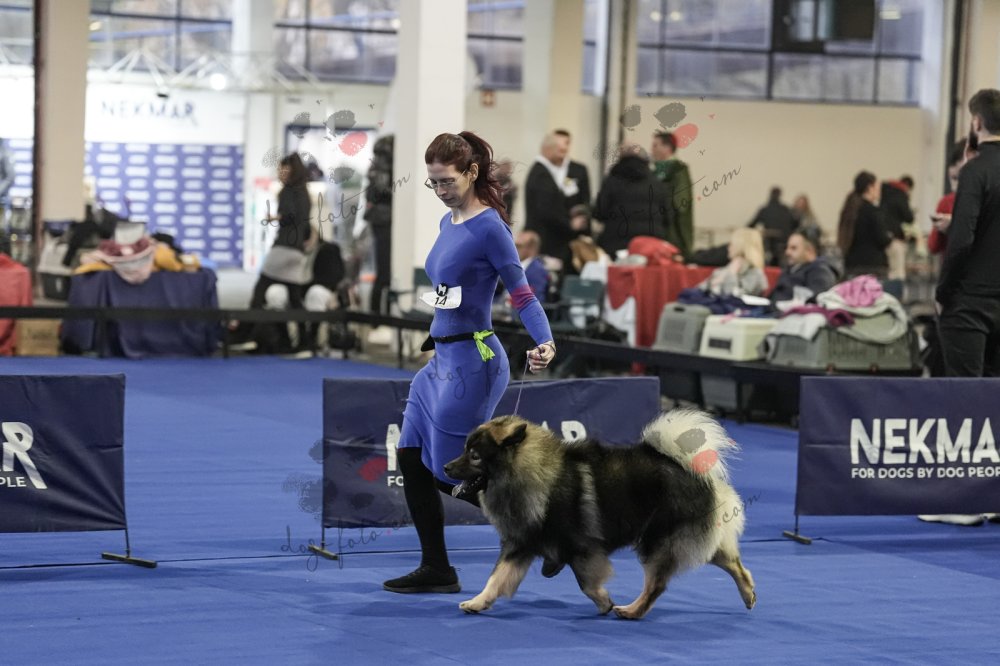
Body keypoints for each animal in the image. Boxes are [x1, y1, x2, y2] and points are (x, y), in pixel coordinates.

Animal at [443, 410, 757, 619]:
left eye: (474, 456)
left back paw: (632, 610)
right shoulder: (520, 544)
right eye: (465, 449)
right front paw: (478, 602)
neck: (536, 476)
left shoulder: (582, 548)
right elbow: (497, 578)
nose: (445, 466)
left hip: (658, 542)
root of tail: (690, 469)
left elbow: (586, 582)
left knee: (656, 584)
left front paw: (604, 602)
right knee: (733, 563)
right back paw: (748, 592)